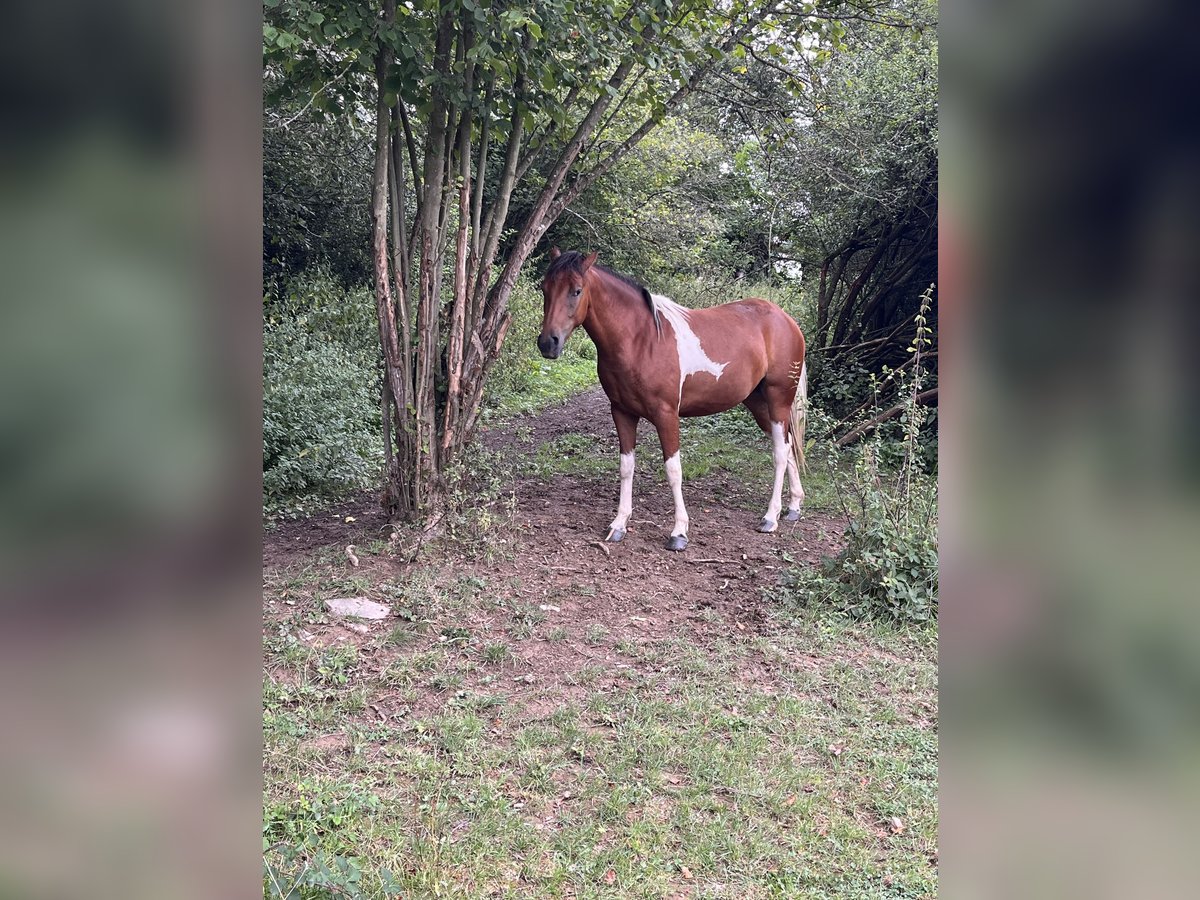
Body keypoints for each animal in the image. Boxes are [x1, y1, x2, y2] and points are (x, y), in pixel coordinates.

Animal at [542, 250, 806, 554]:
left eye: (576, 290)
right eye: (544, 288)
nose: (548, 343)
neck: (641, 340)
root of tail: (786, 320)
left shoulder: (666, 415)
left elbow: (673, 470)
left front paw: (679, 532)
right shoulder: (621, 413)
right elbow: (626, 467)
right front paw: (619, 524)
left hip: (778, 399)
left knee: (779, 452)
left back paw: (770, 517)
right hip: (759, 404)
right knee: (788, 445)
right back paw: (793, 507)